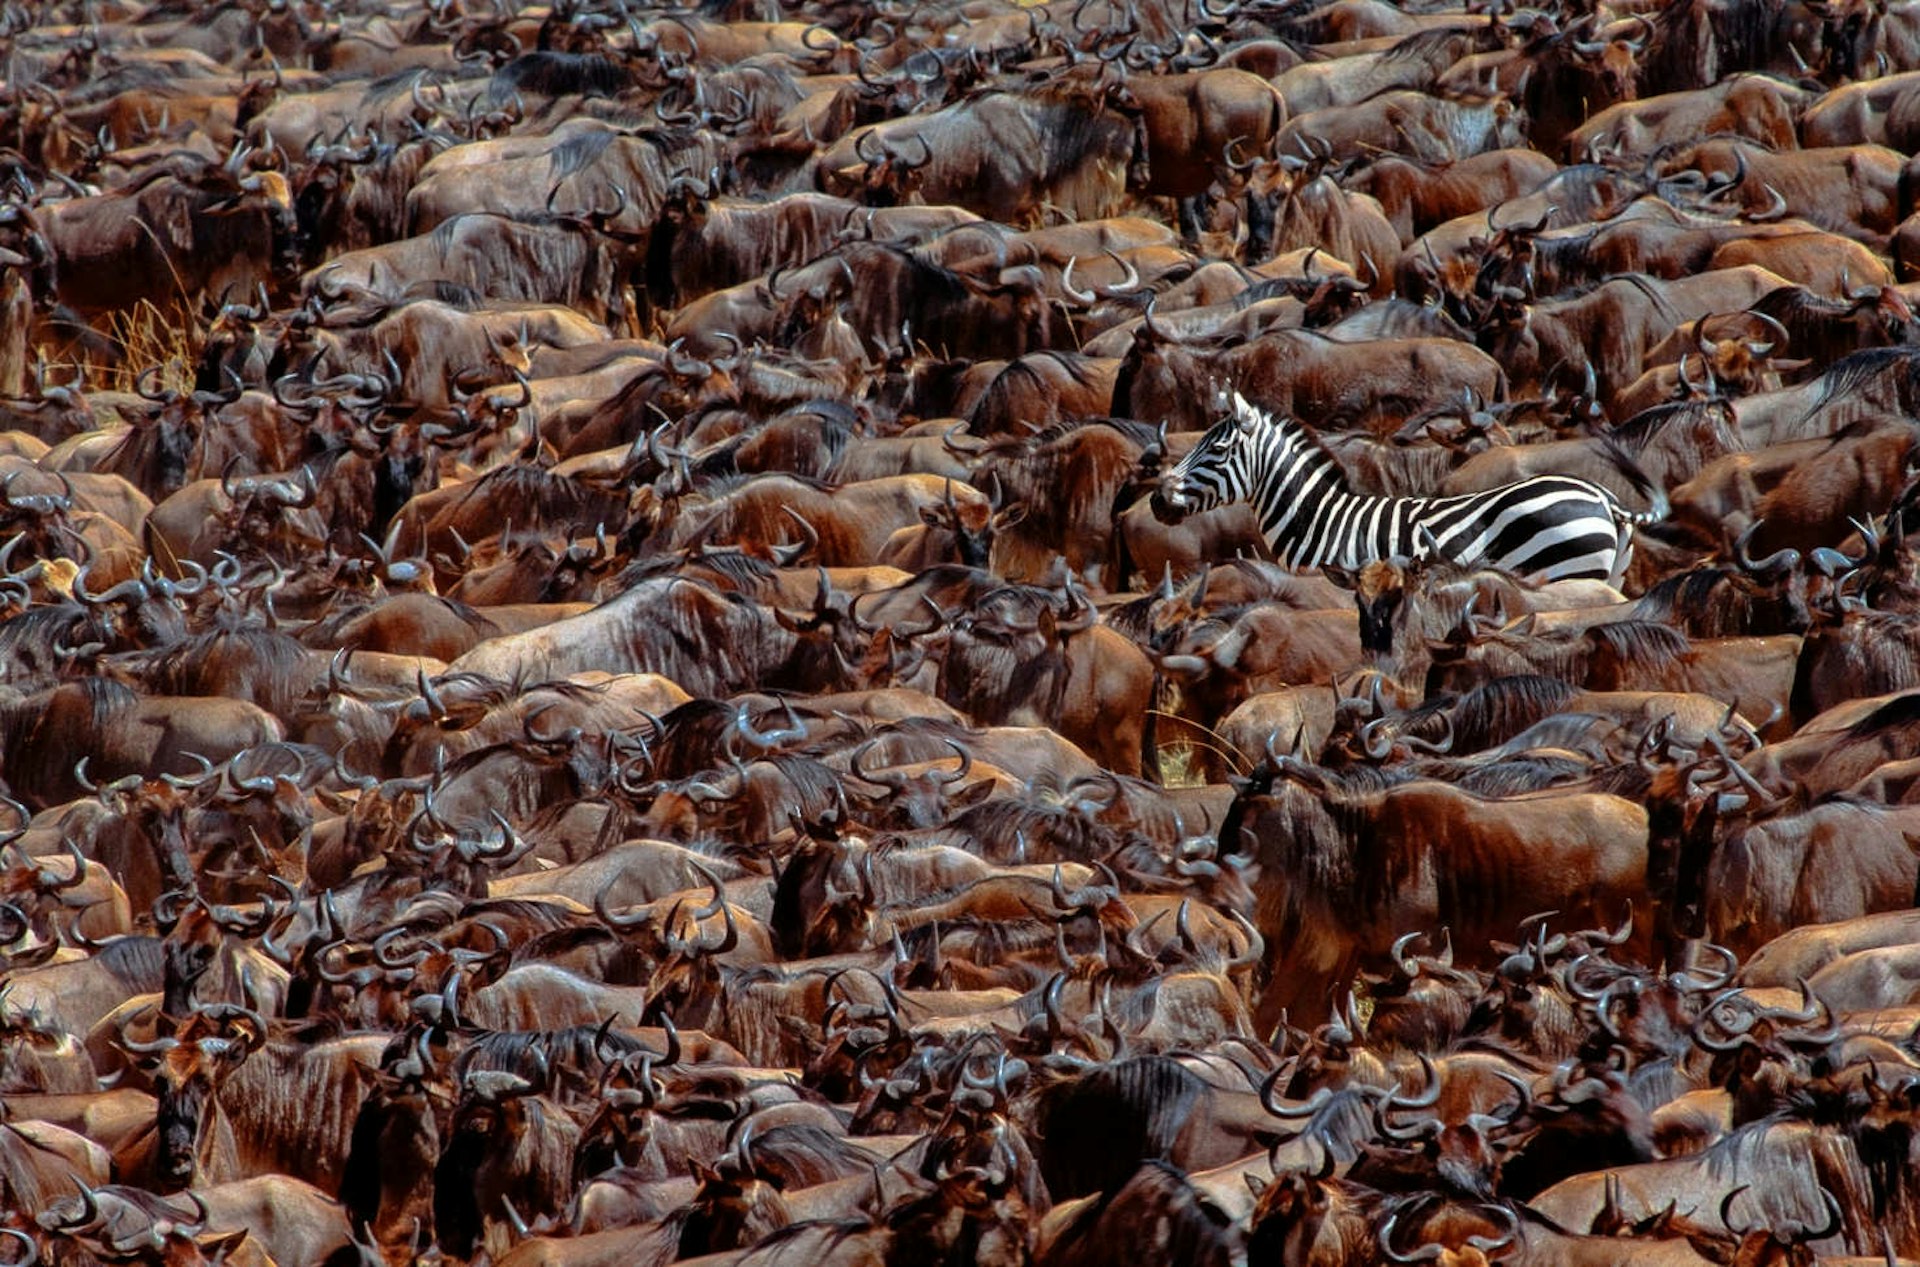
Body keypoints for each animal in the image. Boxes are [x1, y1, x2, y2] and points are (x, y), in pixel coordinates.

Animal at [1152, 393, 1666, 587]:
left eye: (1217, 452)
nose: (1156, 500)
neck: (1320, 519)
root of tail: (1605, 500)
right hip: (1610, 575)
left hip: (1569, 569)